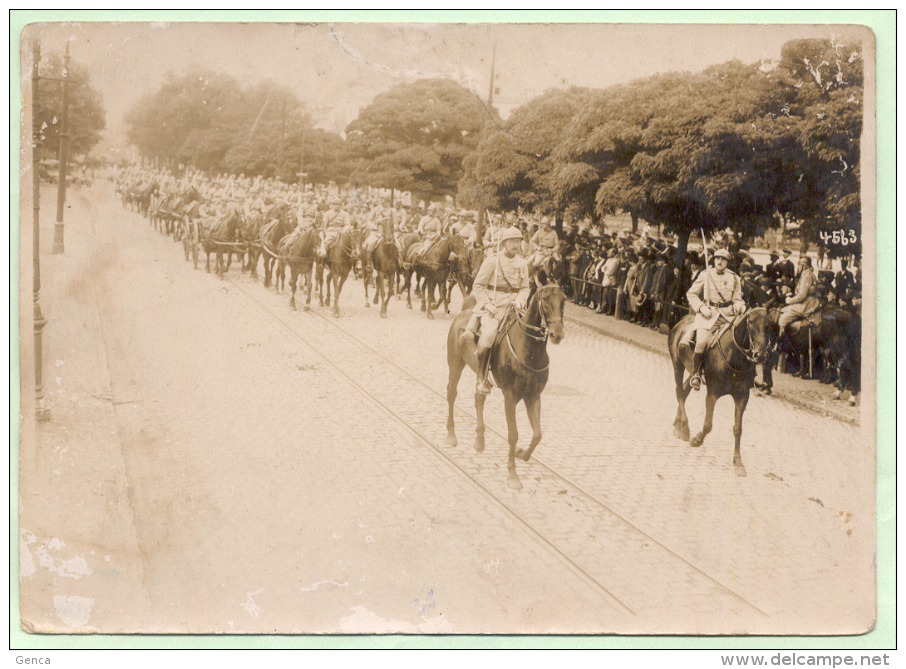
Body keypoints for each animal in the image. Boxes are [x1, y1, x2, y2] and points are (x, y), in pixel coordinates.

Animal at [444, 272, 564, 490]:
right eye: (545, 299)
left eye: (564, 300)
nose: (557, 334)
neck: (530, 349)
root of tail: (465, 311)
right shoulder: (510, 396)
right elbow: (513, 434)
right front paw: (513, 475)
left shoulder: (533, 396)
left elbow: (537, 434)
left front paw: (522, 454)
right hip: (455, 363)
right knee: (451, 394)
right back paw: (451, 435)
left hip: (482, 377)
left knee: (478, 398)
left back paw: (480, 440)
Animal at [664, 308, 768, 474]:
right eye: (751, 322)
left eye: (768, 325)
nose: (761, 354)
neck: (734, 357)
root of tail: (683, 320)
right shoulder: (712, 393)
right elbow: (708, 424)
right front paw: (696, 440)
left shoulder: (742, 396)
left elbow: (738, 429)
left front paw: (738, 462)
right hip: (677, 365)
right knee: (679, 392)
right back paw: (685, 428)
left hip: (692, 372)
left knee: (684, 391)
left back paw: (677, 425)